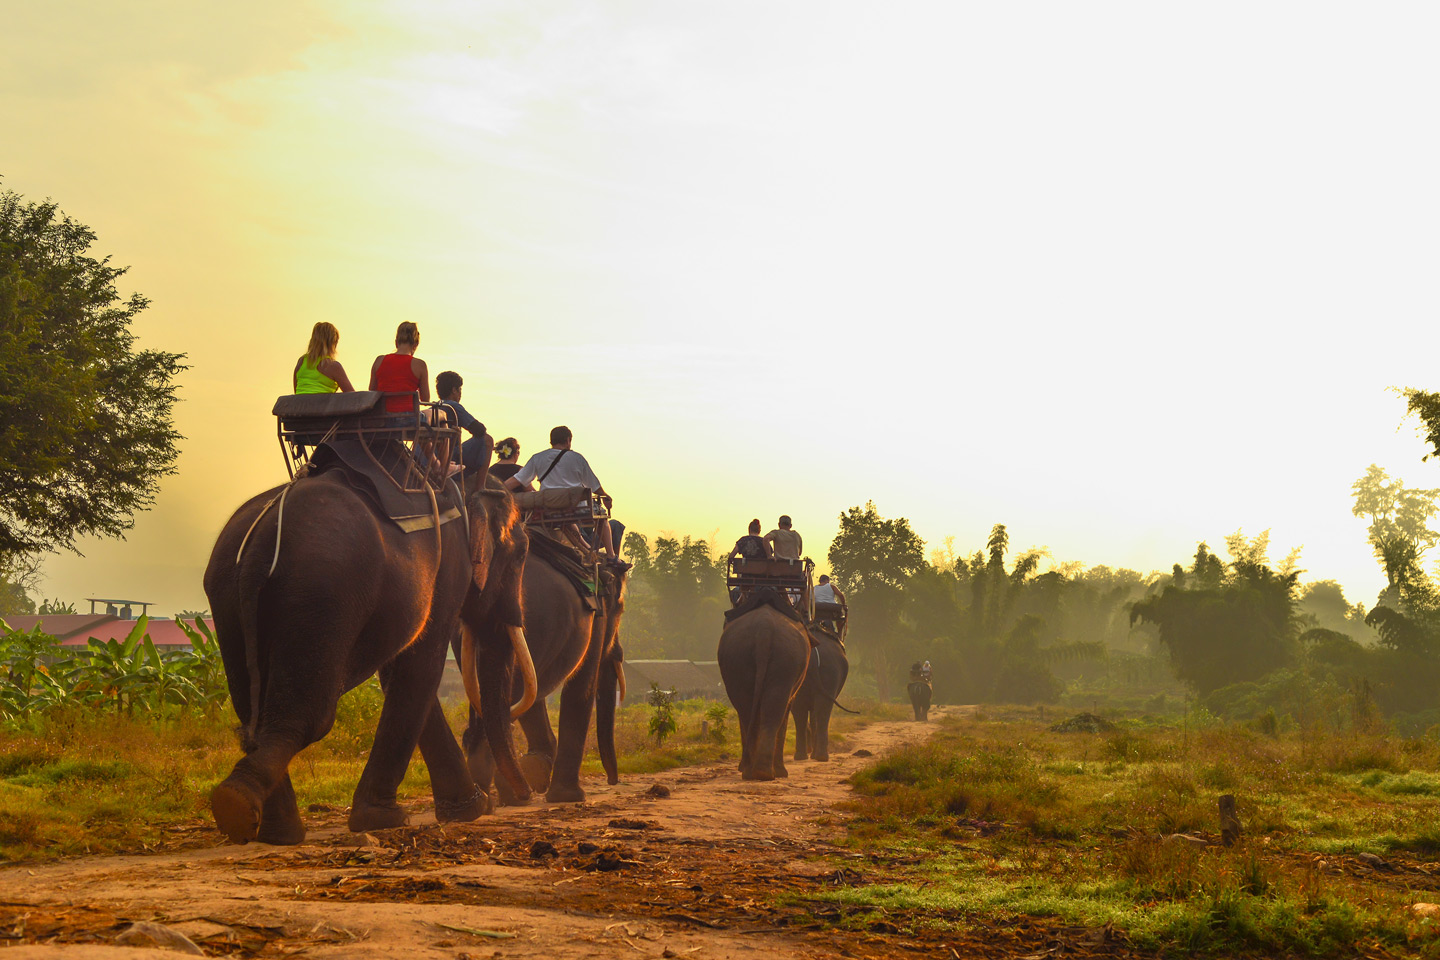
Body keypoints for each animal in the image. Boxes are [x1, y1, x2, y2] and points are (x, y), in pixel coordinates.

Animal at [203, 469, 535, 846]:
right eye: (521, 555)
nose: (524, 796)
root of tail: (261, 540)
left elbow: (397, 672)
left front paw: (468, 808)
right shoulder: (449, 567)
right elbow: (422, 664)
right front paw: (386, 818)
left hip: (227, 595)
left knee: (251, 715)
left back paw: (274, 831)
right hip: (322, 591)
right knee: (307, 716)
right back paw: (238, 804)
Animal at [717, 587, 812, 782]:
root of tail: (764, 630)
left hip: (740, 658)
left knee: (749, 708)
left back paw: (754, 772)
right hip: (784, 659)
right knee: (772, 710)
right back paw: (766, 773)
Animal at [794, 624, 846, 765]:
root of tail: (812, 654)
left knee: (802, 710)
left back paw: (806, 756)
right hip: (831, 671)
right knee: (820, 710)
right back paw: (819, 756)